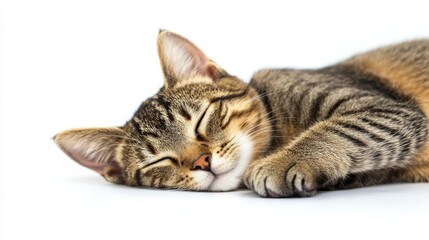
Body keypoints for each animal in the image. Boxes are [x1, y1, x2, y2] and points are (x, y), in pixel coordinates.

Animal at [53, 30, 428, 198]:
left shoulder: (389, 110)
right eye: (159, 161)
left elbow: (341, 128)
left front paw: (287, 159)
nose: (201, 161)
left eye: (201, 120)